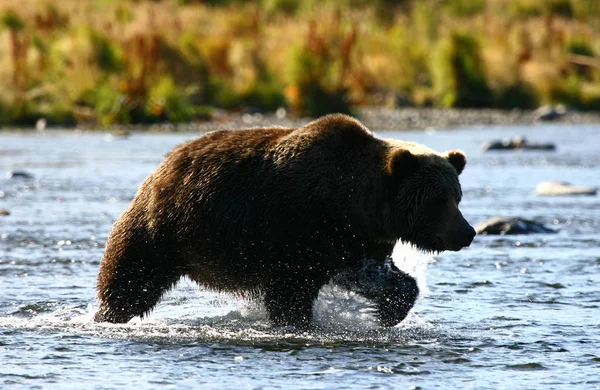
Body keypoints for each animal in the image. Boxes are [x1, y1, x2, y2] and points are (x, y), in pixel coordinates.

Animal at [95, 114, 474, 328]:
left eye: (457, 196)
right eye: (438, 201)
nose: (466, 232)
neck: (355, 205)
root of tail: (165, 163)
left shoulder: (354, 242)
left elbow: (379, 277)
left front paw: (387, 312)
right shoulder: (298, 229)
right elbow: (290, 291)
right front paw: (297, 322)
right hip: (161, 230)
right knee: (131, 278)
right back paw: (109, 315)